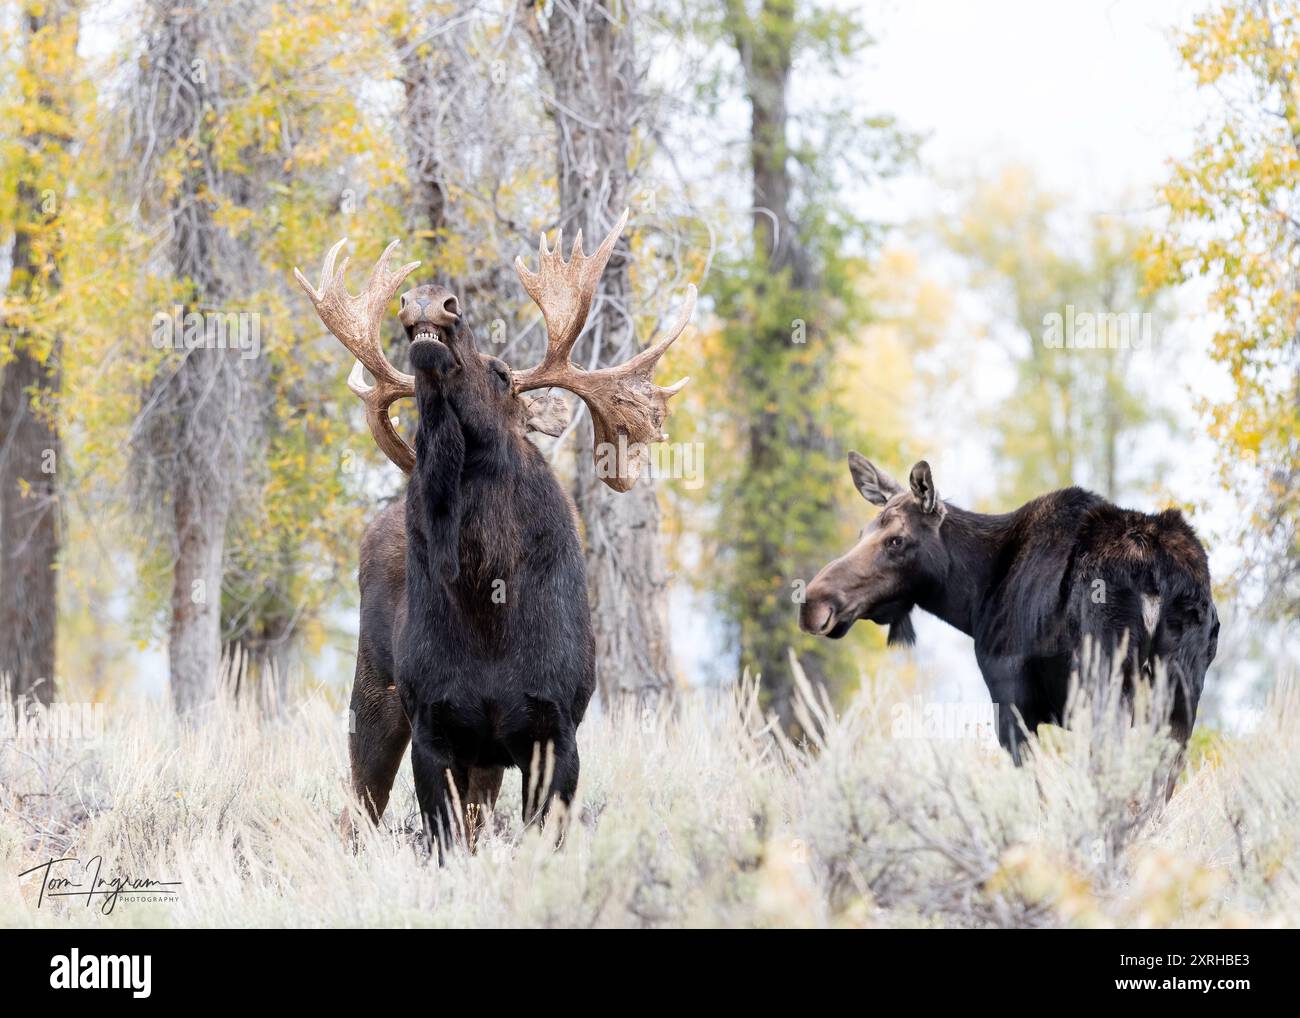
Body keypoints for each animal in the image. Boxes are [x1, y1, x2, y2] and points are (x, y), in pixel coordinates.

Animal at [295, 211, 695, 859]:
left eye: (503, 374)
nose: (431, 299)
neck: (489, 607)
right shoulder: (433, 729)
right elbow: (441, 840)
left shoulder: (555, 729)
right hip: (372, 699)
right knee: (358, 811)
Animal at [799, 453, 1219, 780]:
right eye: (861, 532)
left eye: (896, 540)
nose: (814, 604)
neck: (971, 600)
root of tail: (1157, 577)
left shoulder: (1011, 699)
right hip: (1181, 691)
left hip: (1107, 683)